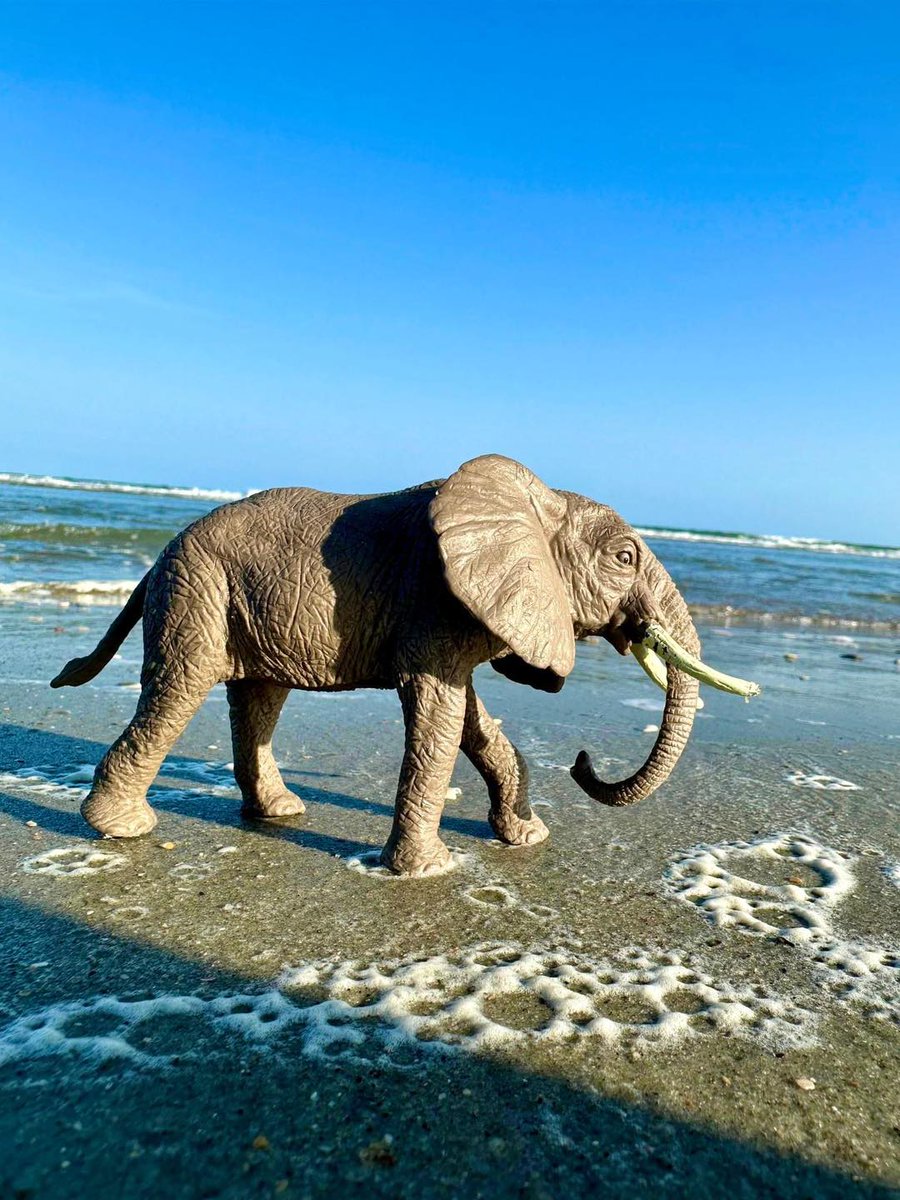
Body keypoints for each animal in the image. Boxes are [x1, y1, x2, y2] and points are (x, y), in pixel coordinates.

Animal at [47, 451, 753, 873]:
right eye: (625, 558)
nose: (583, 761)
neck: (534, 498)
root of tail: (158, 557)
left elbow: (470, 718)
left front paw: (528, 839)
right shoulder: (433, 598)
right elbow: (438, 714)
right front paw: (431, 869)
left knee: (258, 698)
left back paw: (280, 813)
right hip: (197, 592)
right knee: (178, 689)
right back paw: (123, 829)